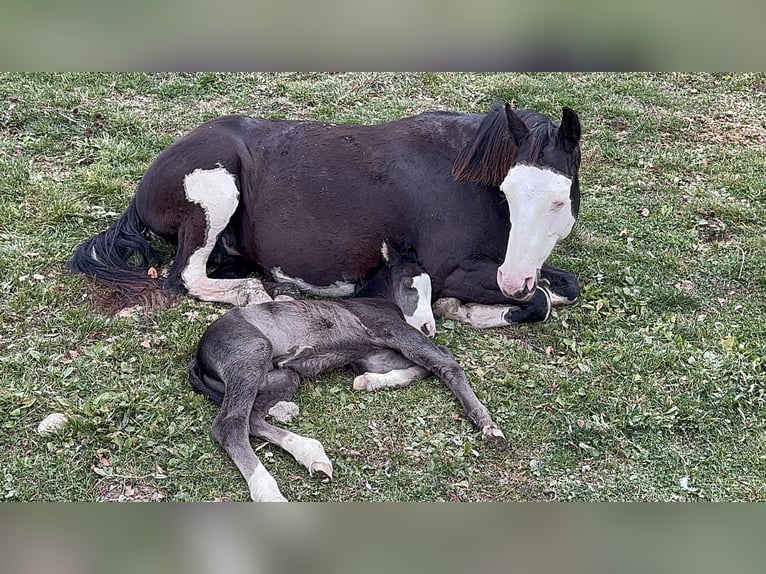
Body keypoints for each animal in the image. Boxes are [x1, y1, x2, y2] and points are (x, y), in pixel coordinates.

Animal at [69, 102, 582, 328]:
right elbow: (539, 300)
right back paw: (256, 292)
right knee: (185, 277)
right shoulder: (450, 269)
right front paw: (469, 309)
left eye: (559, 199)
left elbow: (564, 286)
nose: (511, 281)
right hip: (214, 194)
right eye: (509, 192)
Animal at [188, 242, 504, 501]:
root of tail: (199, 357)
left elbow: (426, 364)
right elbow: (446, 363)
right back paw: (269, 492)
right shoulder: (392, 328)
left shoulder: (375, 355)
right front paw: (489, 426)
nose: (429, 328)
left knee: (252, 419)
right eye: (409, 285)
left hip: (282, 377)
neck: (377, 300)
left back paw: (313, 456)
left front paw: (369, 382)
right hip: (250, 354)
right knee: (230, 424)